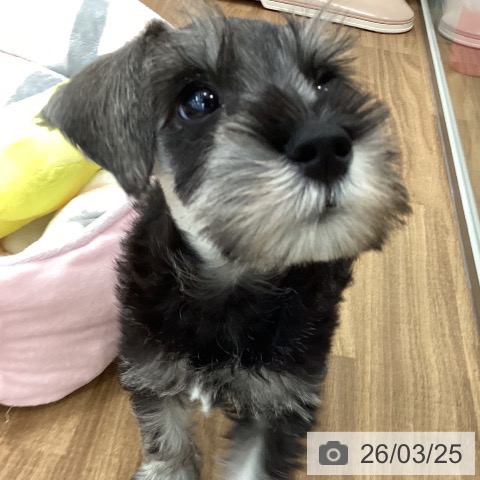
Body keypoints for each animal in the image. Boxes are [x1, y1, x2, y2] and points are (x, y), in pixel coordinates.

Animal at [41, 5, 410, 480]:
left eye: (324, 82)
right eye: (198, 100)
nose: (326, 143)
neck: (231, 280)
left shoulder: (278, 402)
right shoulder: (153, 373)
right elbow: (169, 444)